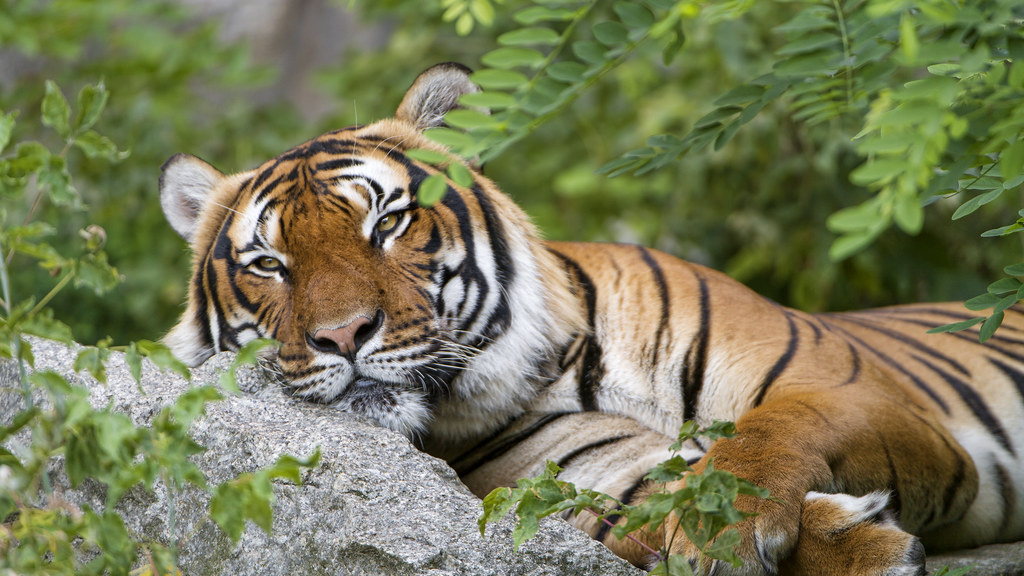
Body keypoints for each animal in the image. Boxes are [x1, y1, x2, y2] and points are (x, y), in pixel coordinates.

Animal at [159, 62, 1024, 575]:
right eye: (269, 264)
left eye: (388, 223)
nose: (342, 336)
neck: (564, 364)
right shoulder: (578, 477)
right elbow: (666, 498)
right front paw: (850, 542)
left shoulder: (849, 387)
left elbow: (762, 436)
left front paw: (736, 527)